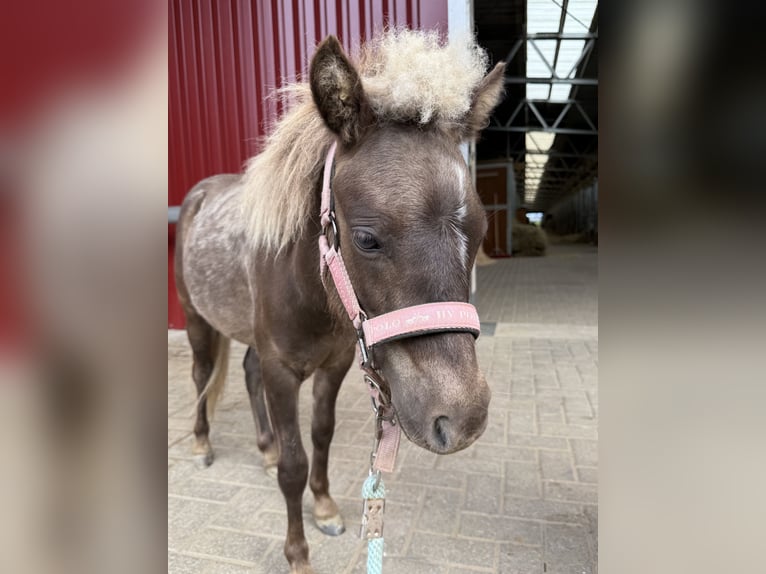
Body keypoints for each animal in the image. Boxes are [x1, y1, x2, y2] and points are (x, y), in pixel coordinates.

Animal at [174, 30, 505, 574]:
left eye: (478, 232)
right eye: (367, 239)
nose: (462, 421)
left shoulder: (335, 364)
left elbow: (322, 437)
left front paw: (326, 507)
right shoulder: (282, 371)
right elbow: (294, 463)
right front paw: (297, 553)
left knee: (244, 372)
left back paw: (262, 449)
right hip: (197, 321)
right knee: (203, 375)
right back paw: (202, 444)